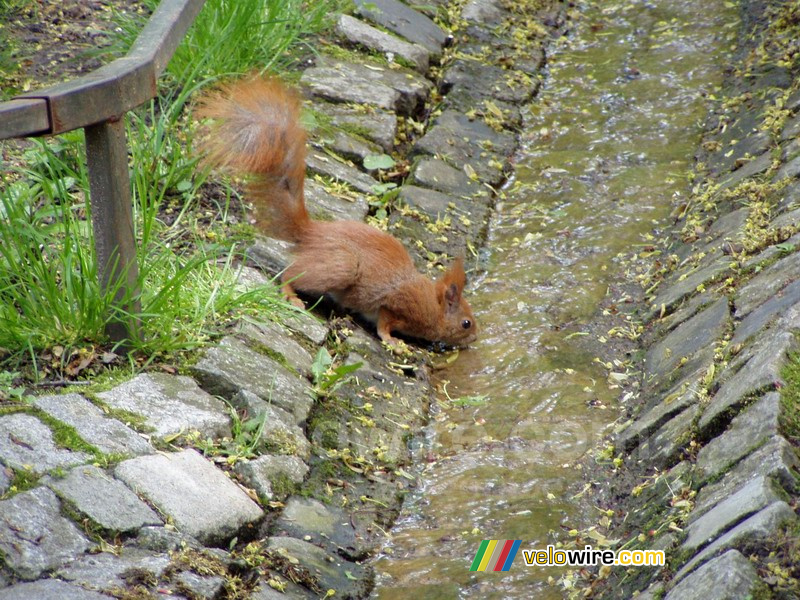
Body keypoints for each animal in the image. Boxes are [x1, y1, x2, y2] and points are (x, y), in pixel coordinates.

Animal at [198, 76, 478, 346]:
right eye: (466, 323)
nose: (475, 338)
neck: (435, 306)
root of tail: (312, 233)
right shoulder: (400, 304)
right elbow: (384, 321)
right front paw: (392, 341)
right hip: (343, 266)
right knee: (290, 274)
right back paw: (292, 295)